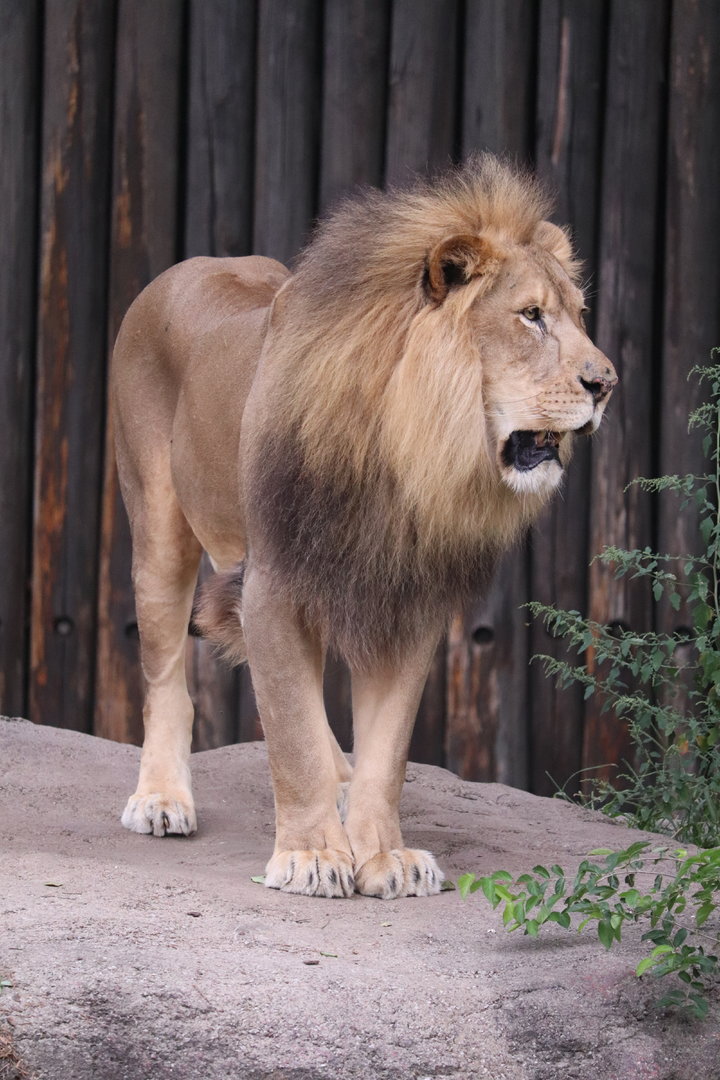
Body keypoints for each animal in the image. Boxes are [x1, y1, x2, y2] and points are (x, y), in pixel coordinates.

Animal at [112, 155, 616, 900]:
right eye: (530, 316)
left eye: (580, 317)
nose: (606, 383)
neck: (405, 446)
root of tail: (181, 269)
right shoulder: (274, 581)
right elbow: (290, 731)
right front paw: (311, 854)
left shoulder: (407, 596)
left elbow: (385, 750)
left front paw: (383, 856)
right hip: (158, 527)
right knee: (167, 675)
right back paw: (162, 798)